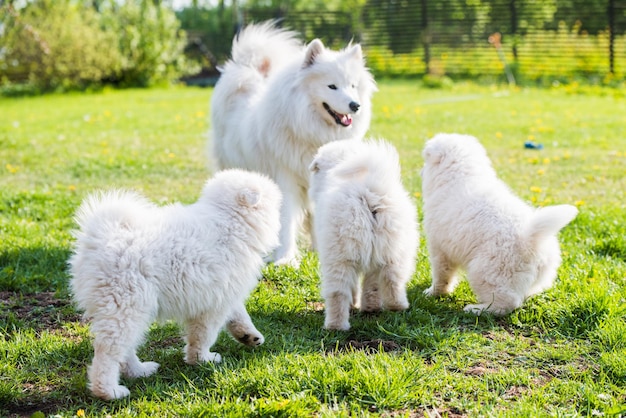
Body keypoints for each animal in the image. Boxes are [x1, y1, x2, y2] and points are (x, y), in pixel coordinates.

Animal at [68, 171, 280, 402]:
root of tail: (100, 238)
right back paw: (109, 391)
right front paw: (202, 359)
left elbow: (239, 314)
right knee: (108, 351)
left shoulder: (223, 293)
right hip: (126, 305)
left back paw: (139, 371)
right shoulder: (212, 305)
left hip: (128, 309)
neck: (230, 222)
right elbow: (204, 335)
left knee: (125, 349)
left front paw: (250, 336)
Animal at [210, 20, 376, 264]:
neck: (310, 131)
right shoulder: (285, 179)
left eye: (353, 86)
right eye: (332, 86)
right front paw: (285, 259)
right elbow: (286, 221)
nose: (355, 105)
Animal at [308, 138, 420, 330]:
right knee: (392, 281)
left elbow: (352, 287)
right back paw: (394, 307)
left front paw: (354, 304)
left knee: (338, 292)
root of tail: (370, 193)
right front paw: (369, 306)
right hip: (394, 250)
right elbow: (372, 284)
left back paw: (335, 326)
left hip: (339, 255)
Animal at [420, 133, 576, 314]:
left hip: (487, 271)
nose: (420, 172)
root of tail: (530, 239)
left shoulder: (440, 247)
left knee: (505, 302)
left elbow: (442, 275)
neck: (461, 176)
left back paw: (476, 309)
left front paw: (433, 293)